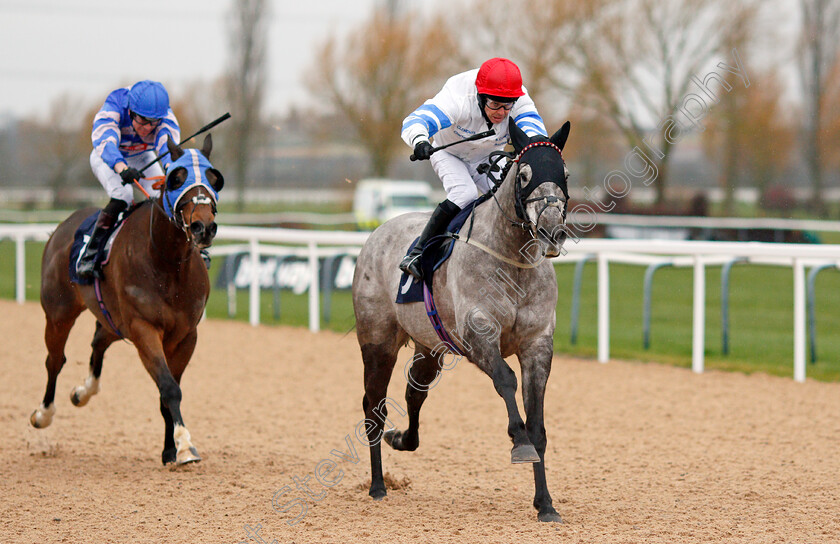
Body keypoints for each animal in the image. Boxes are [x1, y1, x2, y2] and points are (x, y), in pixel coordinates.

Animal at [31, 134, 225, 466]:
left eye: (214, 179)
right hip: (59, 312)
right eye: (177, 178)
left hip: (113, 317)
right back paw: (43, 414)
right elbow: (169, 388)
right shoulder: (144, 328)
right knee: (55, 360)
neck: (167, 263)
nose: (204, 227)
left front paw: (170, 450)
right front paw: (185, 446)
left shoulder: (185, 335)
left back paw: (83, 392)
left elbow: (168, 390)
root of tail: (65, 224)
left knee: (98, 341)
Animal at [352, 120, 576, 524]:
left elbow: (538, 423)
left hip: (429, 347)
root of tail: (376, 231)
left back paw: (402, 439)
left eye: (564, 174)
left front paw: (545, 504)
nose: (553, 232)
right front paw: (519, 442)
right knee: (373, 407)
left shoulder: (538, 344)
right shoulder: (478, 335)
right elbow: (506, 380)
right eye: (524, 175)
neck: (513, 261)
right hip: (378, 341)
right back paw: (377, 485)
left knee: (414, 393)